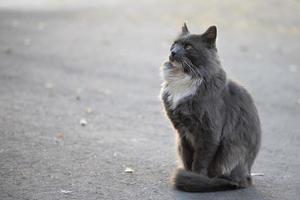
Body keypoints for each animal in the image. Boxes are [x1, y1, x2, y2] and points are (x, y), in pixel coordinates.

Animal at [161, 23, 262, 192]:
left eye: (188, 46)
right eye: (175, 44)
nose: (173, 52)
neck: (184, 77)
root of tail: (247, 176)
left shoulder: (209, 133)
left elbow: (200, 162)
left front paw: (195, 179)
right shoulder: (183, 134)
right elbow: (188, 159)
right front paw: (189, 175)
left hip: (230, 150)